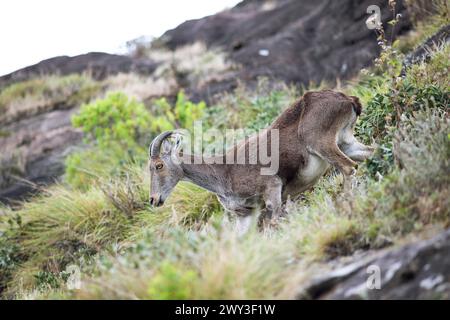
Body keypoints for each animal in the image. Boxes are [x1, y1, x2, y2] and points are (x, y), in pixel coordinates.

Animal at [148, 89, 372, 225]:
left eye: (158, 165)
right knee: (369, 154)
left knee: (349, 168)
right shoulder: (246, 215)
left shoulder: (272, 189)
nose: (153, 199)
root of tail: (348, 100)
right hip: (346, 142)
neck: (223, 173)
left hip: (322, 143)